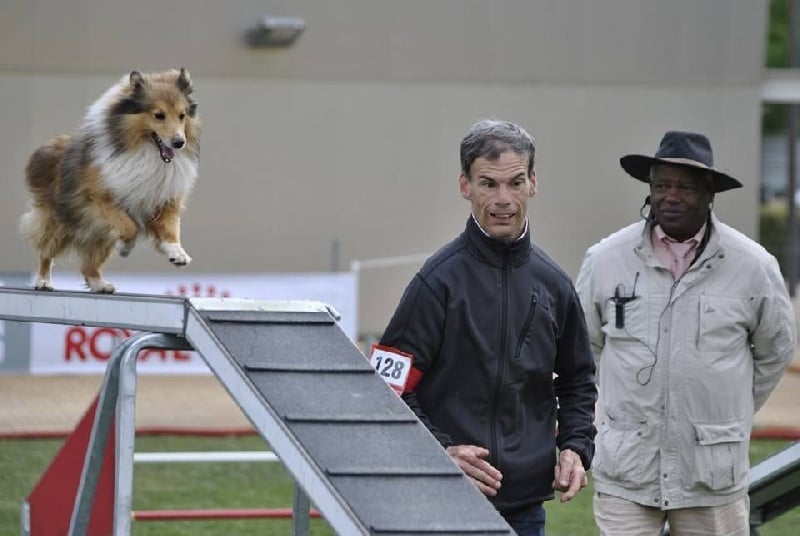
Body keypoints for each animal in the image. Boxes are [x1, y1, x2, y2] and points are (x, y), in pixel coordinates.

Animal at [18, 68, 200, 294]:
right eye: (159, 115)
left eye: (182, 116)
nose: (179, 142)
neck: (145, 152)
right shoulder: (99, 199)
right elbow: (129, 227)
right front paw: (126, 247)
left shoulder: (165, 199)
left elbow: (170, 229)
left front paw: (177, 253)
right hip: (60, 220)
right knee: (47, 252)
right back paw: (43, 281)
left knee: (88, 266)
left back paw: (100, 284)